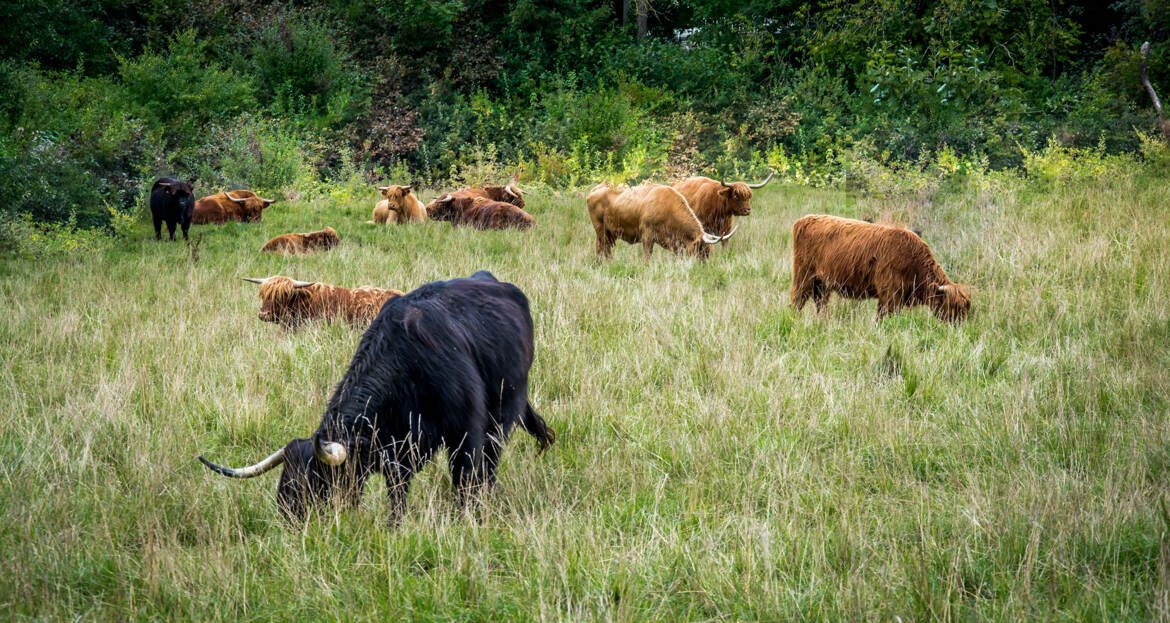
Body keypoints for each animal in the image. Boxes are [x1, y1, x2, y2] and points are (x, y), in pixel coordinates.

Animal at [585, 180, 730, 259]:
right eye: (702, 249)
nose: (704, 266)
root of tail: (595, 190)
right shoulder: (647, 235)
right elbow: (647, 255)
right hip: (601, 229)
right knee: (605, 248)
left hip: (605, 232)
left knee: (599, 247)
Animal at [790, 213, 973, 320]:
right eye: (955, 307)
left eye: (965, 308)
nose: (960, 326)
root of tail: (804, 220)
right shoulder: (890, 295)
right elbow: (884, 316)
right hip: (804, 276)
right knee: (797, 299)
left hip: (822, 283)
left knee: (821, 303)